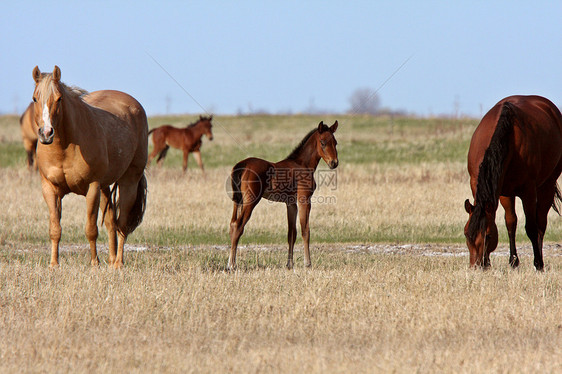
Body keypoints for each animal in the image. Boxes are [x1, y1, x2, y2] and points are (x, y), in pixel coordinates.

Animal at [31, 65, 149, 268]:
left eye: (59, 98)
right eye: (35, 98)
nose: (46, 133)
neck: (65, 147)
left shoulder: (92, 187)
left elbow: (91, 229)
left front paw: (94, 263)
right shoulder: (50, 189)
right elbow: (55, 229)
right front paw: (54, 264)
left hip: (128, 181)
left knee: (122, 223)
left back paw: (118, 263)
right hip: (105, 187)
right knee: (111, 221)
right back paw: (112, 259)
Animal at [226, 121, 336, 270]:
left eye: (335, 142)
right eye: (323, 142)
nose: (334, 163)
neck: (302, 164)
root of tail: (242, 164)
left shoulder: (291, 203)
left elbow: (292, 233)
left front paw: (289, 264)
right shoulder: (304, 200)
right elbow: (305, 230)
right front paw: (308, 263)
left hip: (238, 201)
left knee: (232, 224)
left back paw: (229, 262)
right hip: (251, 201)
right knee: (238, 225)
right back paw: (232, 264)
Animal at [464, 95, 560, 270]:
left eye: (488, 236)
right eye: (466, 234)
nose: (477, 265)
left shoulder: (528, 192)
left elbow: (531, 227)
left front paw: (537, 263)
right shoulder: (501, 191)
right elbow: (510, 223)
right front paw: (513, 262)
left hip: (547, 185)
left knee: (541, 222)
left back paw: (540, 261)